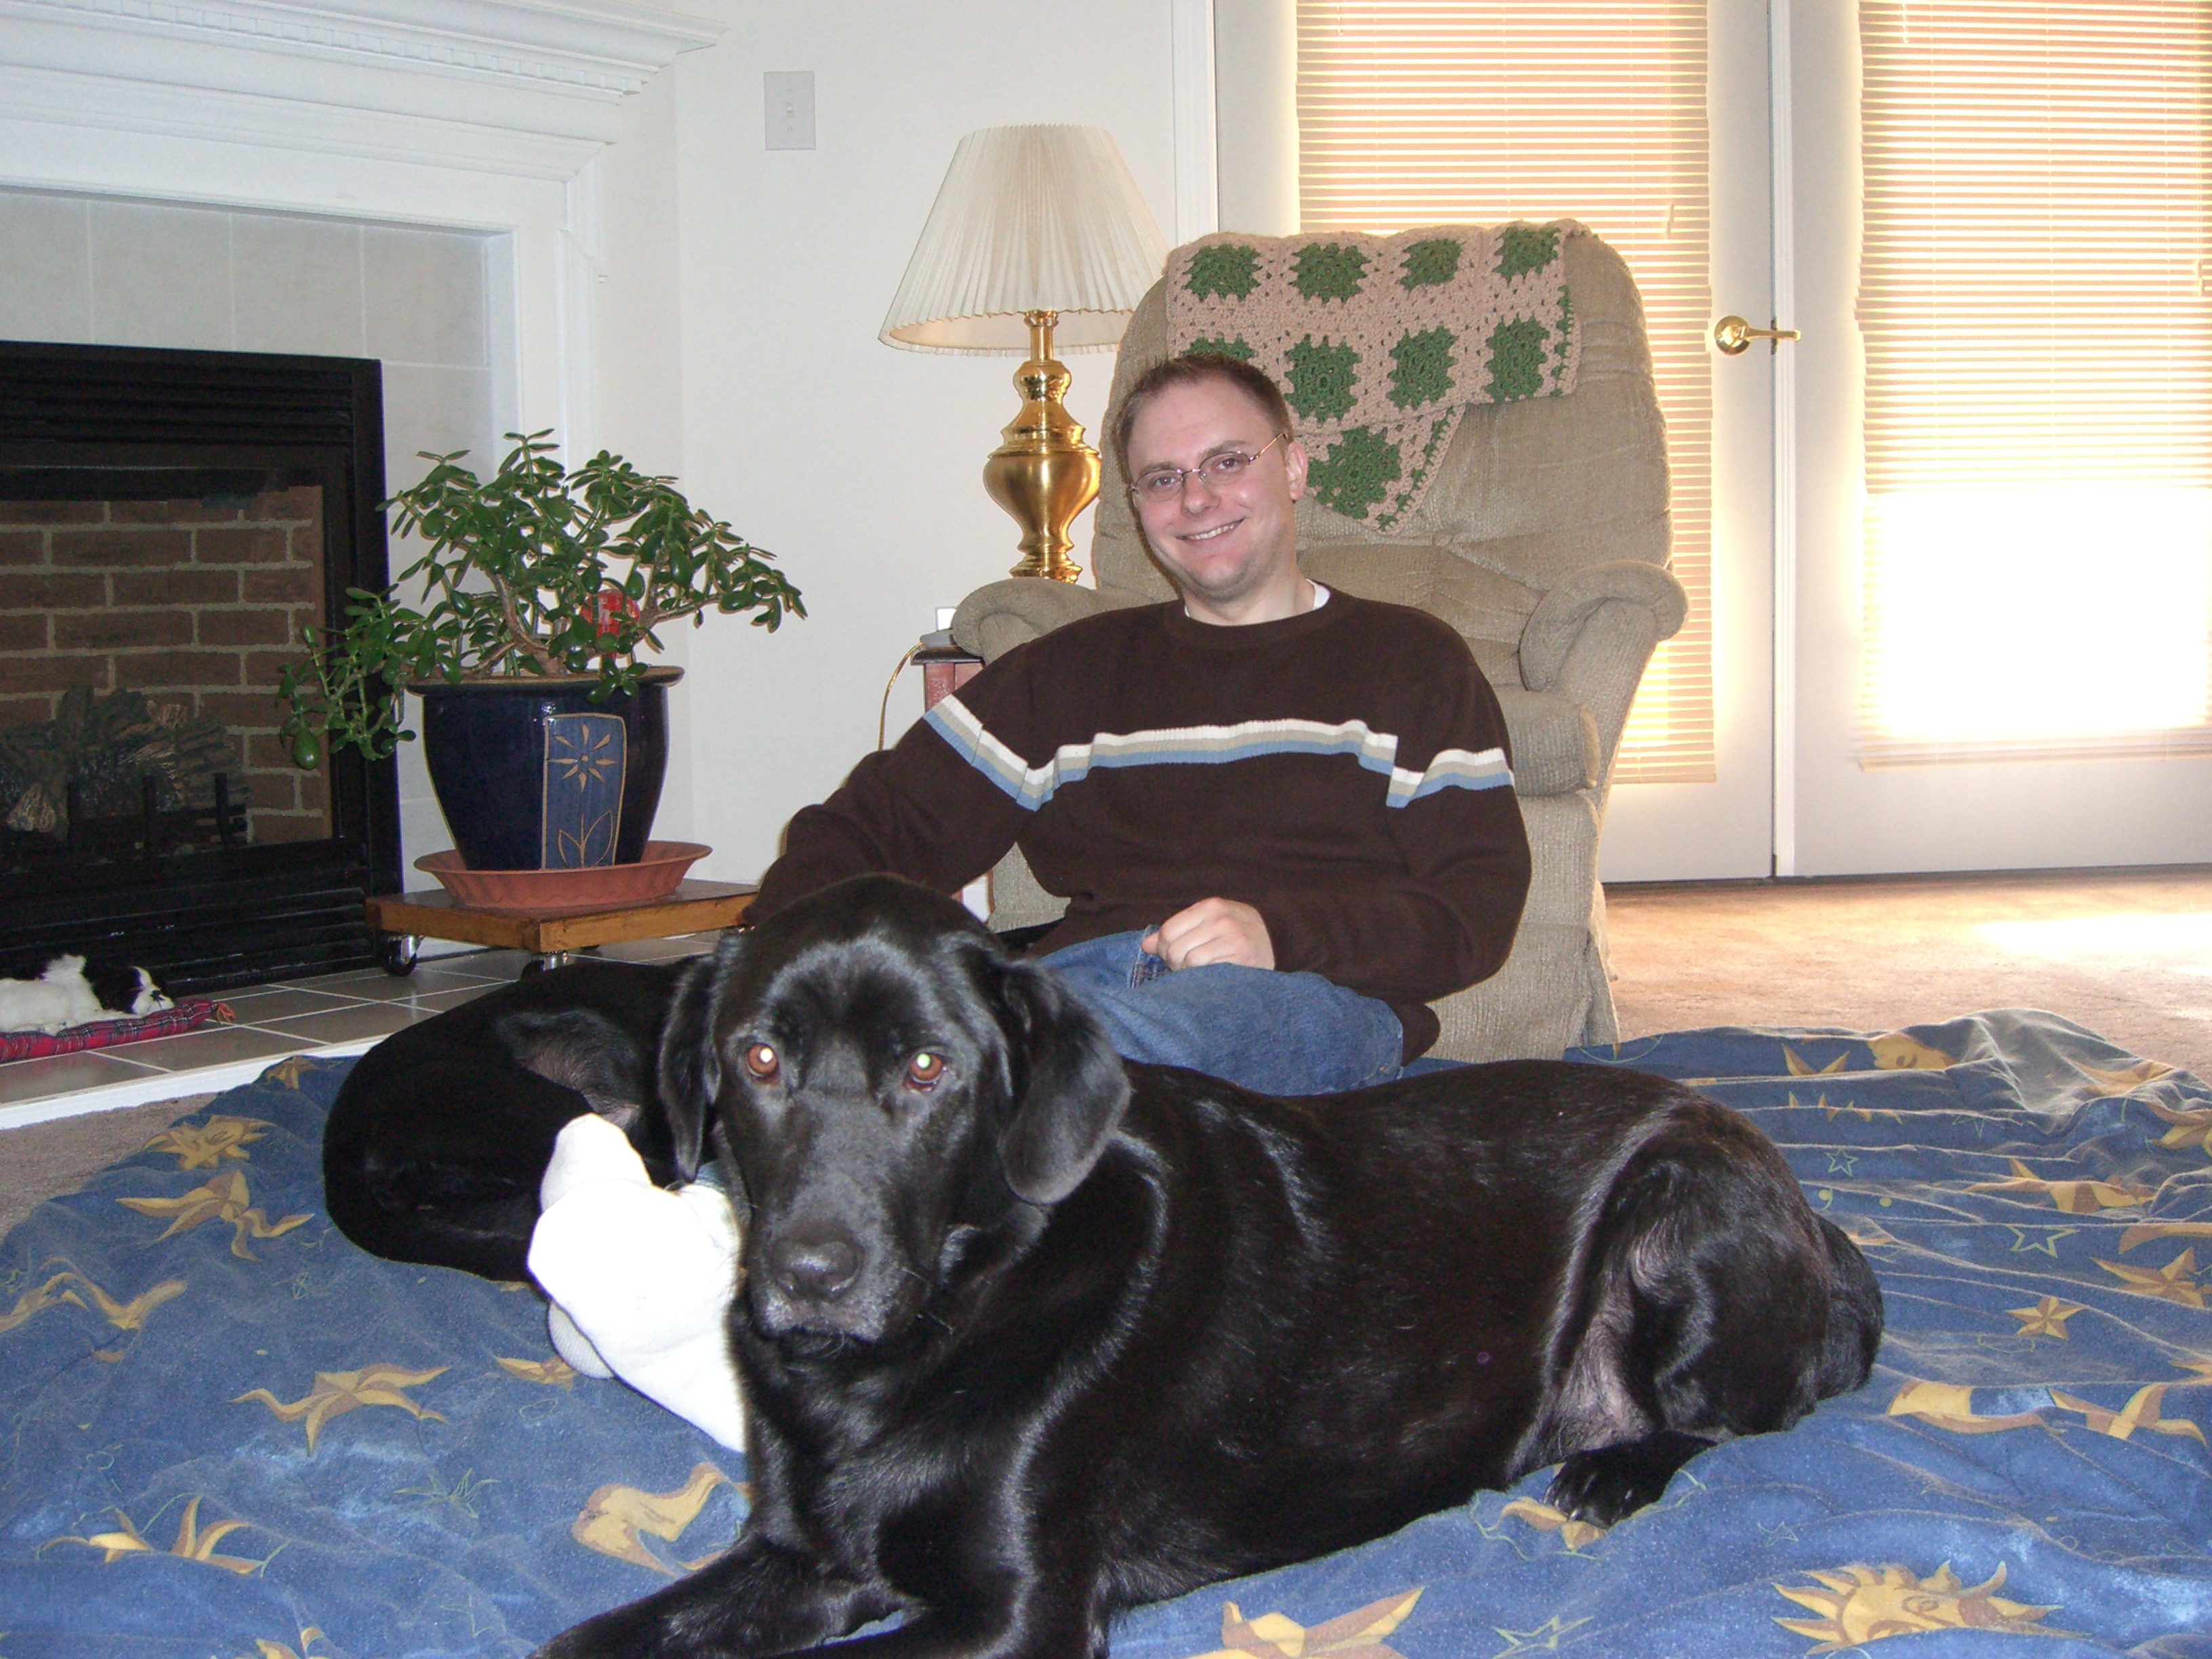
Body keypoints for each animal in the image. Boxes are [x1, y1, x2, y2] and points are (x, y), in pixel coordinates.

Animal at [532, 873, 1884, 1659]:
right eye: (757, 1058)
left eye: (927, 1069)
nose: (810, 1272)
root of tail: (1808, 1213)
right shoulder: (798, 1558)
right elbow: (575, 1646)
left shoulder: (1018, 1612)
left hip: (1677, 1207)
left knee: (1744, 1411)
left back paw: (1615, 1468)